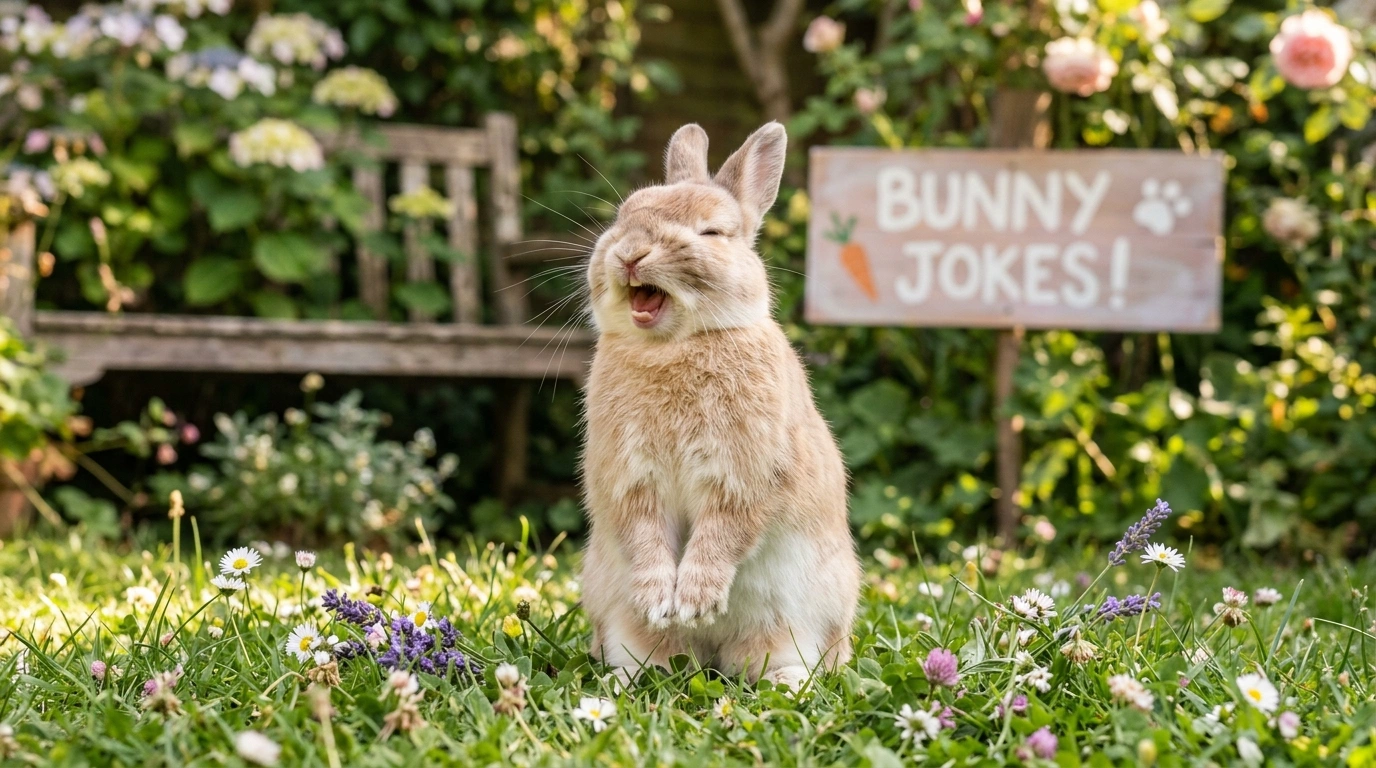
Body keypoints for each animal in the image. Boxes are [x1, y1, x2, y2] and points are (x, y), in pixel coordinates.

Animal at [579, 122, 860, 691]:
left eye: (710, 233)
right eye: (623, 218)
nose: (630, 254)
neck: (674, 345)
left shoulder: (745, 472)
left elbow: (723, 531)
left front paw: (695, 601)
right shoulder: (630, 476)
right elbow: (644, 533)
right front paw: (661, 600)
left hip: (792, 623)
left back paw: (781, 683)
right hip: (620, 622)